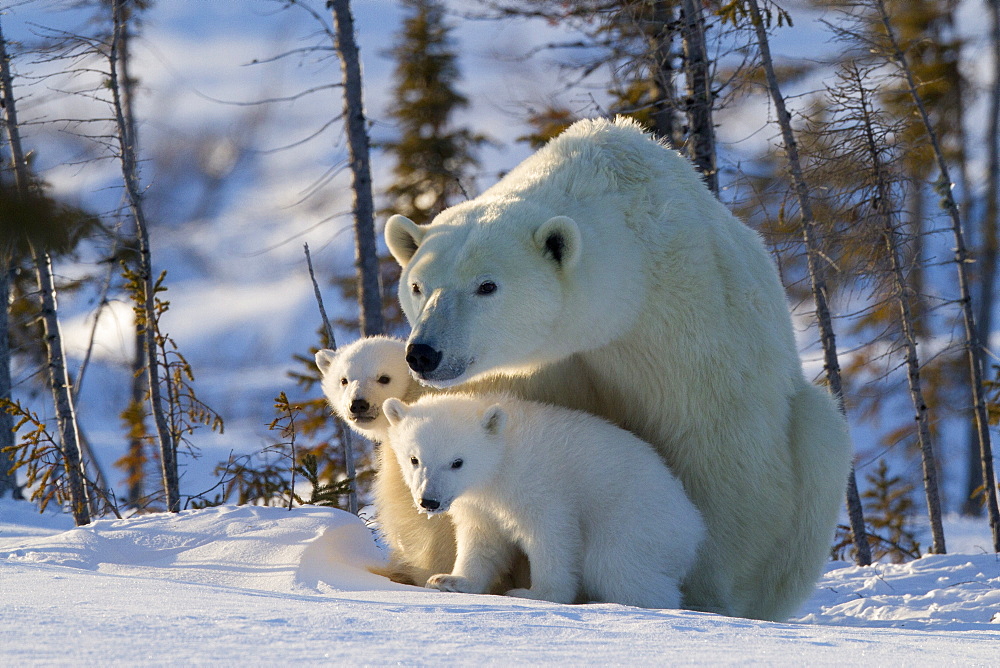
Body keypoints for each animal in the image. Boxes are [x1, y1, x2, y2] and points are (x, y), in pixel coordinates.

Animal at [382, 392, 704, 612]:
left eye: (457, 462)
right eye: (414, 459)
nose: (429, 501)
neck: (504, 458)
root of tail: (693, 525)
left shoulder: (540, 484)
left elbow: (552, 536)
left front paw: (534, 594)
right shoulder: (480, 503)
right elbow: (482, 539)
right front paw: (449, 580)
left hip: (636, 520)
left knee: (617, 565)